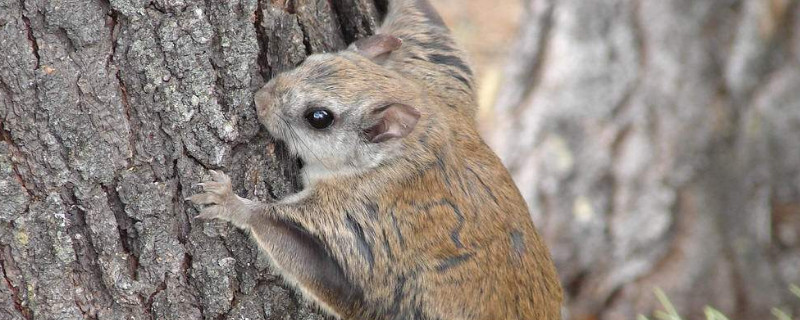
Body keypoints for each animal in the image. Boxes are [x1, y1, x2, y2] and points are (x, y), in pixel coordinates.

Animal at [188, 1, 564, 318]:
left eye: (319, 118)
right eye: (308, 60)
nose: (260, 99)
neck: (404, 149)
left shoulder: (361, 213)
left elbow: (297, 245)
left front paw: (230, 202)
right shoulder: (440, 76)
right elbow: (427, 21)